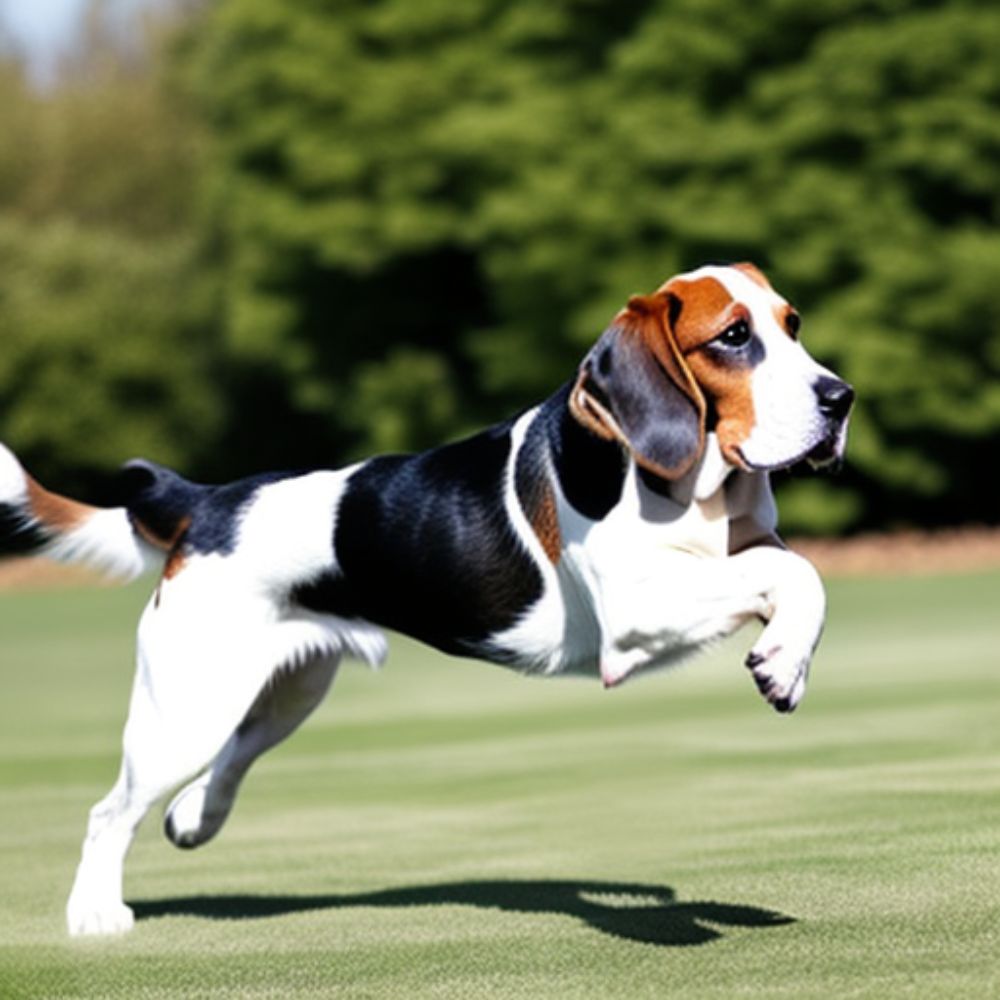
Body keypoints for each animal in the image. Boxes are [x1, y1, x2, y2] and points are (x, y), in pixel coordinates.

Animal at [3, 262, 856, 932]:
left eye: (792, 325)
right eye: (734, 337)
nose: (841, 398)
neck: (692, 490)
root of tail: (209, 500)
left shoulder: (739, 553)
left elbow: (796, 573)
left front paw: (789, 657)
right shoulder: (633, 617)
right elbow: (794, 576)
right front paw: (782, 658)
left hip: (282, 692)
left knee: (230, 762)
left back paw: (192, 820)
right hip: (186, 709)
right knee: (109, 813)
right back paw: (95, 915)